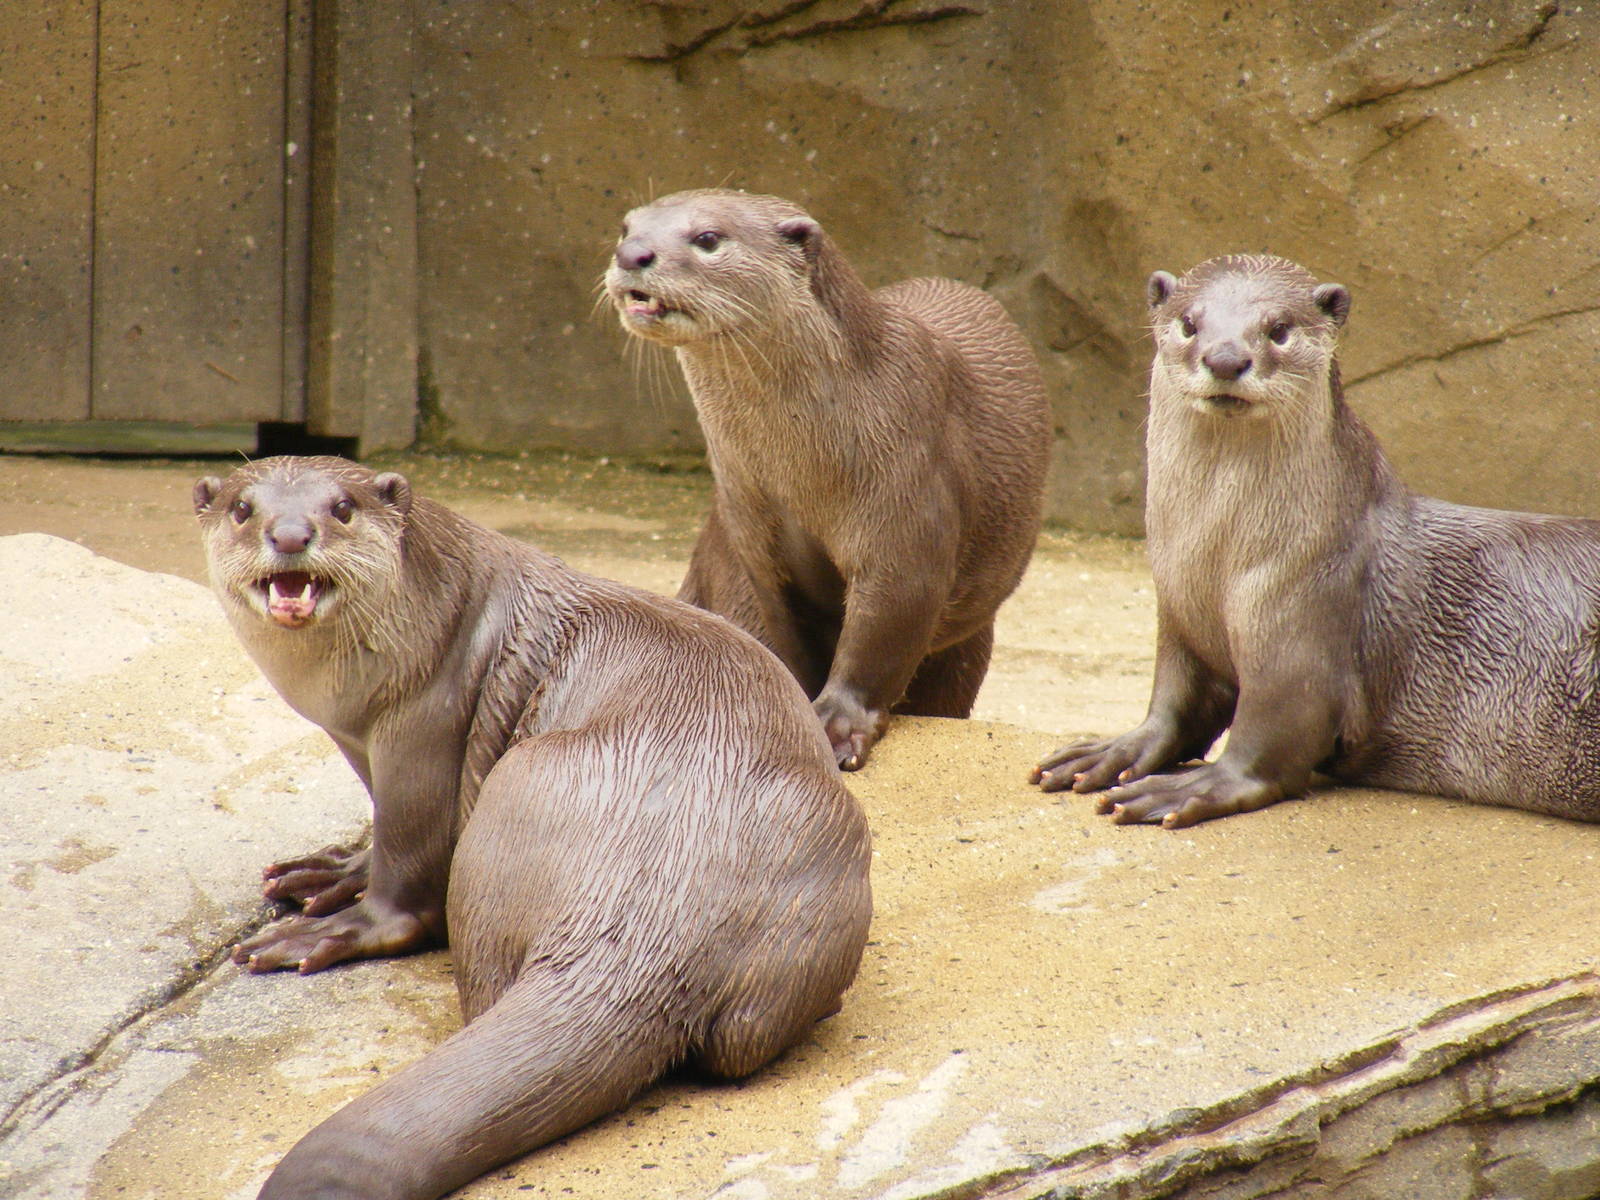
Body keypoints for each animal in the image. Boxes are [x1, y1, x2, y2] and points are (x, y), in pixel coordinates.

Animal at [194, 456, 872, 1199]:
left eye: (342, 507)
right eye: (243, 509)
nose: (290, 535)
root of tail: (648, 908)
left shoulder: (423, 717)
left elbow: (407, 865)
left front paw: (343, 913)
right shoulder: (357, 740)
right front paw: (333, 870)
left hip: (514, 784)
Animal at [605, 189, 1051, 770]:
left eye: (708, 238)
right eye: (626, 227)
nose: (632, 254)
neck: (803, 474)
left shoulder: (907, 489)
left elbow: (887, 625)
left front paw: (839, 725)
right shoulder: (754, 527)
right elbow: (789, 629)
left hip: (969, 645)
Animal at [1032, 254, 1600, 828]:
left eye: (1279, 330)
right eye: (1190, 323)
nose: (1226, 358)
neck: (1216, 567)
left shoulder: (1305, 615)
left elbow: (1274, 738)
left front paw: (1192, 785)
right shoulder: (1179, 615)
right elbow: (1176, 706)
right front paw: (1112, 751)